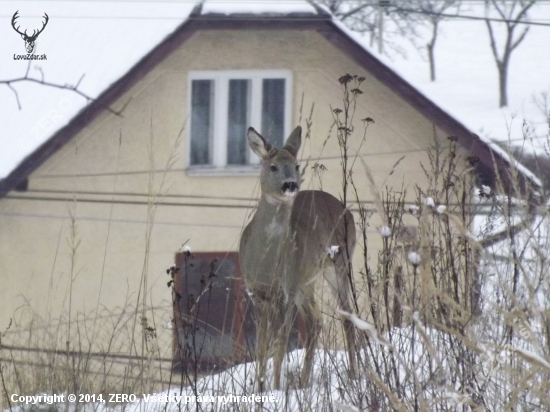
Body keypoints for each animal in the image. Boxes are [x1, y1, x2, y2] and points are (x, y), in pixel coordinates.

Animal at [239, 125, 360, 390]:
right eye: (273, 166)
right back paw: (304, 381)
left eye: (295, 165)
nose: (290, 185)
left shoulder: (286, 290)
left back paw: (353, 374)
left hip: (336, 265)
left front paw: (275, 388)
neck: (266, 260)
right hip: (306, 281)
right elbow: (262, 346)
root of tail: (346, 210)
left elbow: (280, 344)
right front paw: (259, 388)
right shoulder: (257, 293)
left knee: (347, 315)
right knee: (316, 321)